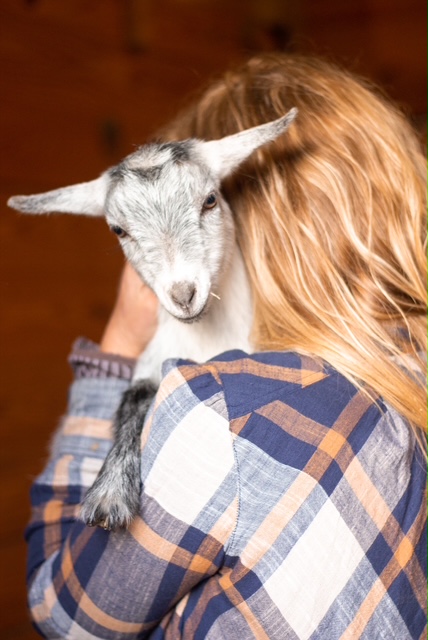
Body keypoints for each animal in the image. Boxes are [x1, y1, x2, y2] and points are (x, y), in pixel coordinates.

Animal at [8, 108, 297, 530]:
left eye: (210, 200)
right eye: (119, 229)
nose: (183, 294)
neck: (206, 336)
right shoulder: (154, 355)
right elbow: (133, 399)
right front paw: (110, 492)